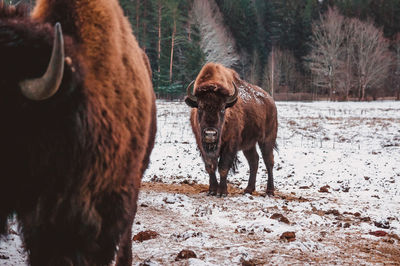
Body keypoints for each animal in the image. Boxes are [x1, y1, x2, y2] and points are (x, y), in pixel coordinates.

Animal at [185, 61, 276, 196]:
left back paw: (269, 191)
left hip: (267, 139)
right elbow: (210, 166)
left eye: (223, 109)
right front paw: (212, 190)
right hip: (249, 145)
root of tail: (270, 100)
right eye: (200, 108)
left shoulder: (231, 143)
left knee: (268, 161)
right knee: (254, 161)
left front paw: (222, 192)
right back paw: (248, 189)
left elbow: (223, 167)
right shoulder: (201, 143)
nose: (210, 134)